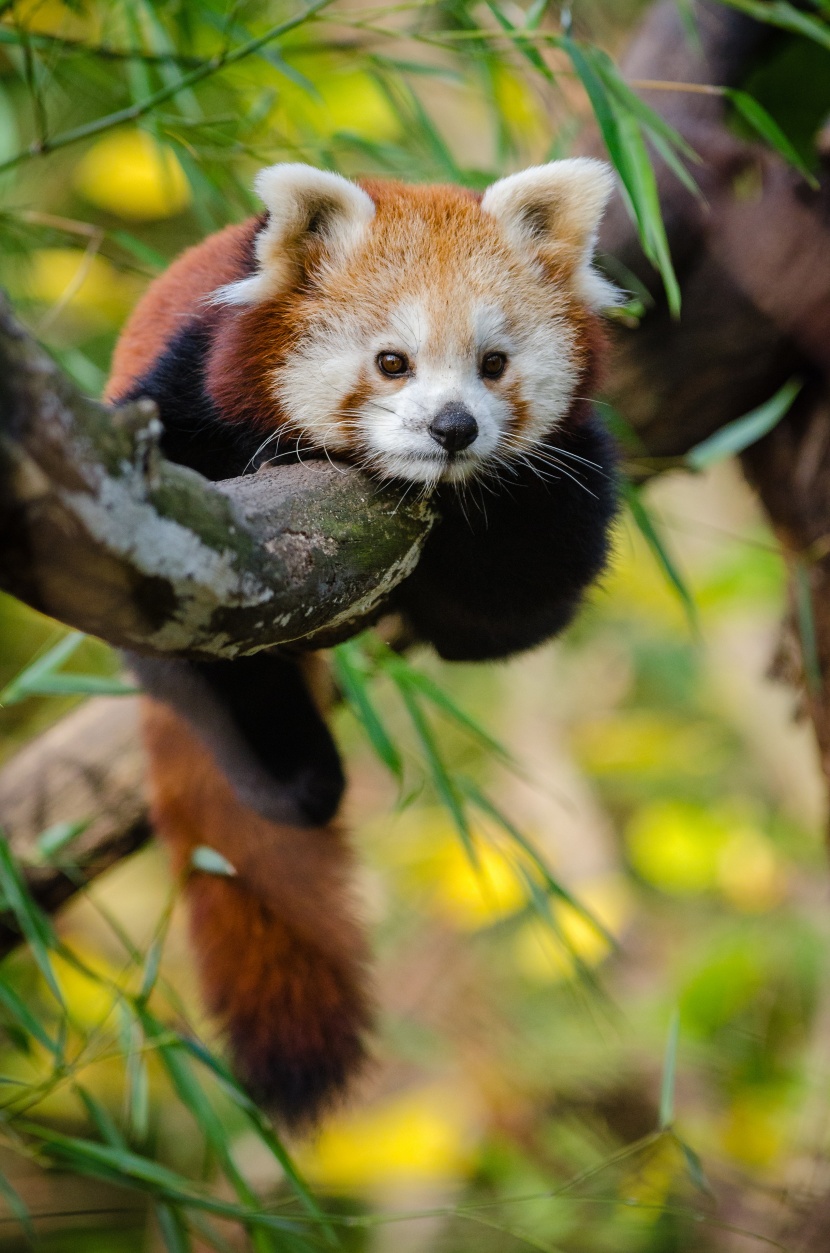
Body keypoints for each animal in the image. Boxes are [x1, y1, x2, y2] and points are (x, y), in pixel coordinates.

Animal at [107, 159, 621, 1127]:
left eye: (494, 364)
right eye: (392, 362)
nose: (453, 427)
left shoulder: (569, 482)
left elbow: (522, 601)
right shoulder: (186, 396)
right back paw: (296, 773)